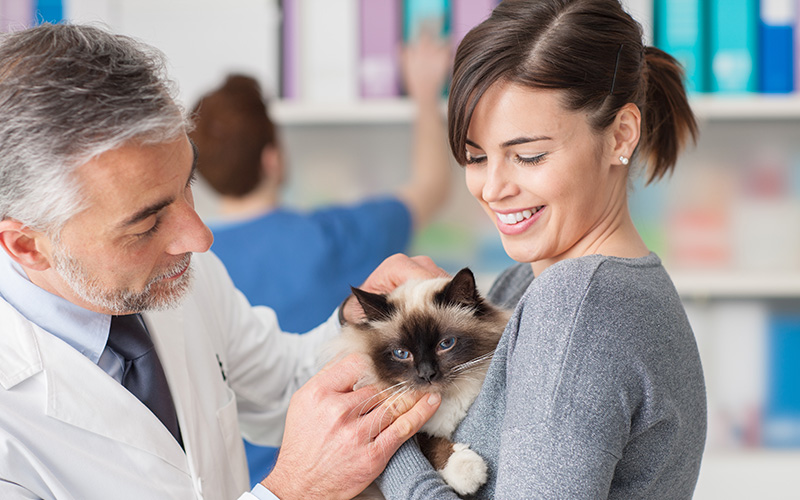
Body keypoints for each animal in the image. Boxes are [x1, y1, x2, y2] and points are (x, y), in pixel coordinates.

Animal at [326, 268, 510, 498]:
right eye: (402, 354)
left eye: (446, 344)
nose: (427, 374)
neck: (445, 399)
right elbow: (426, 439)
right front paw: (466, 470)